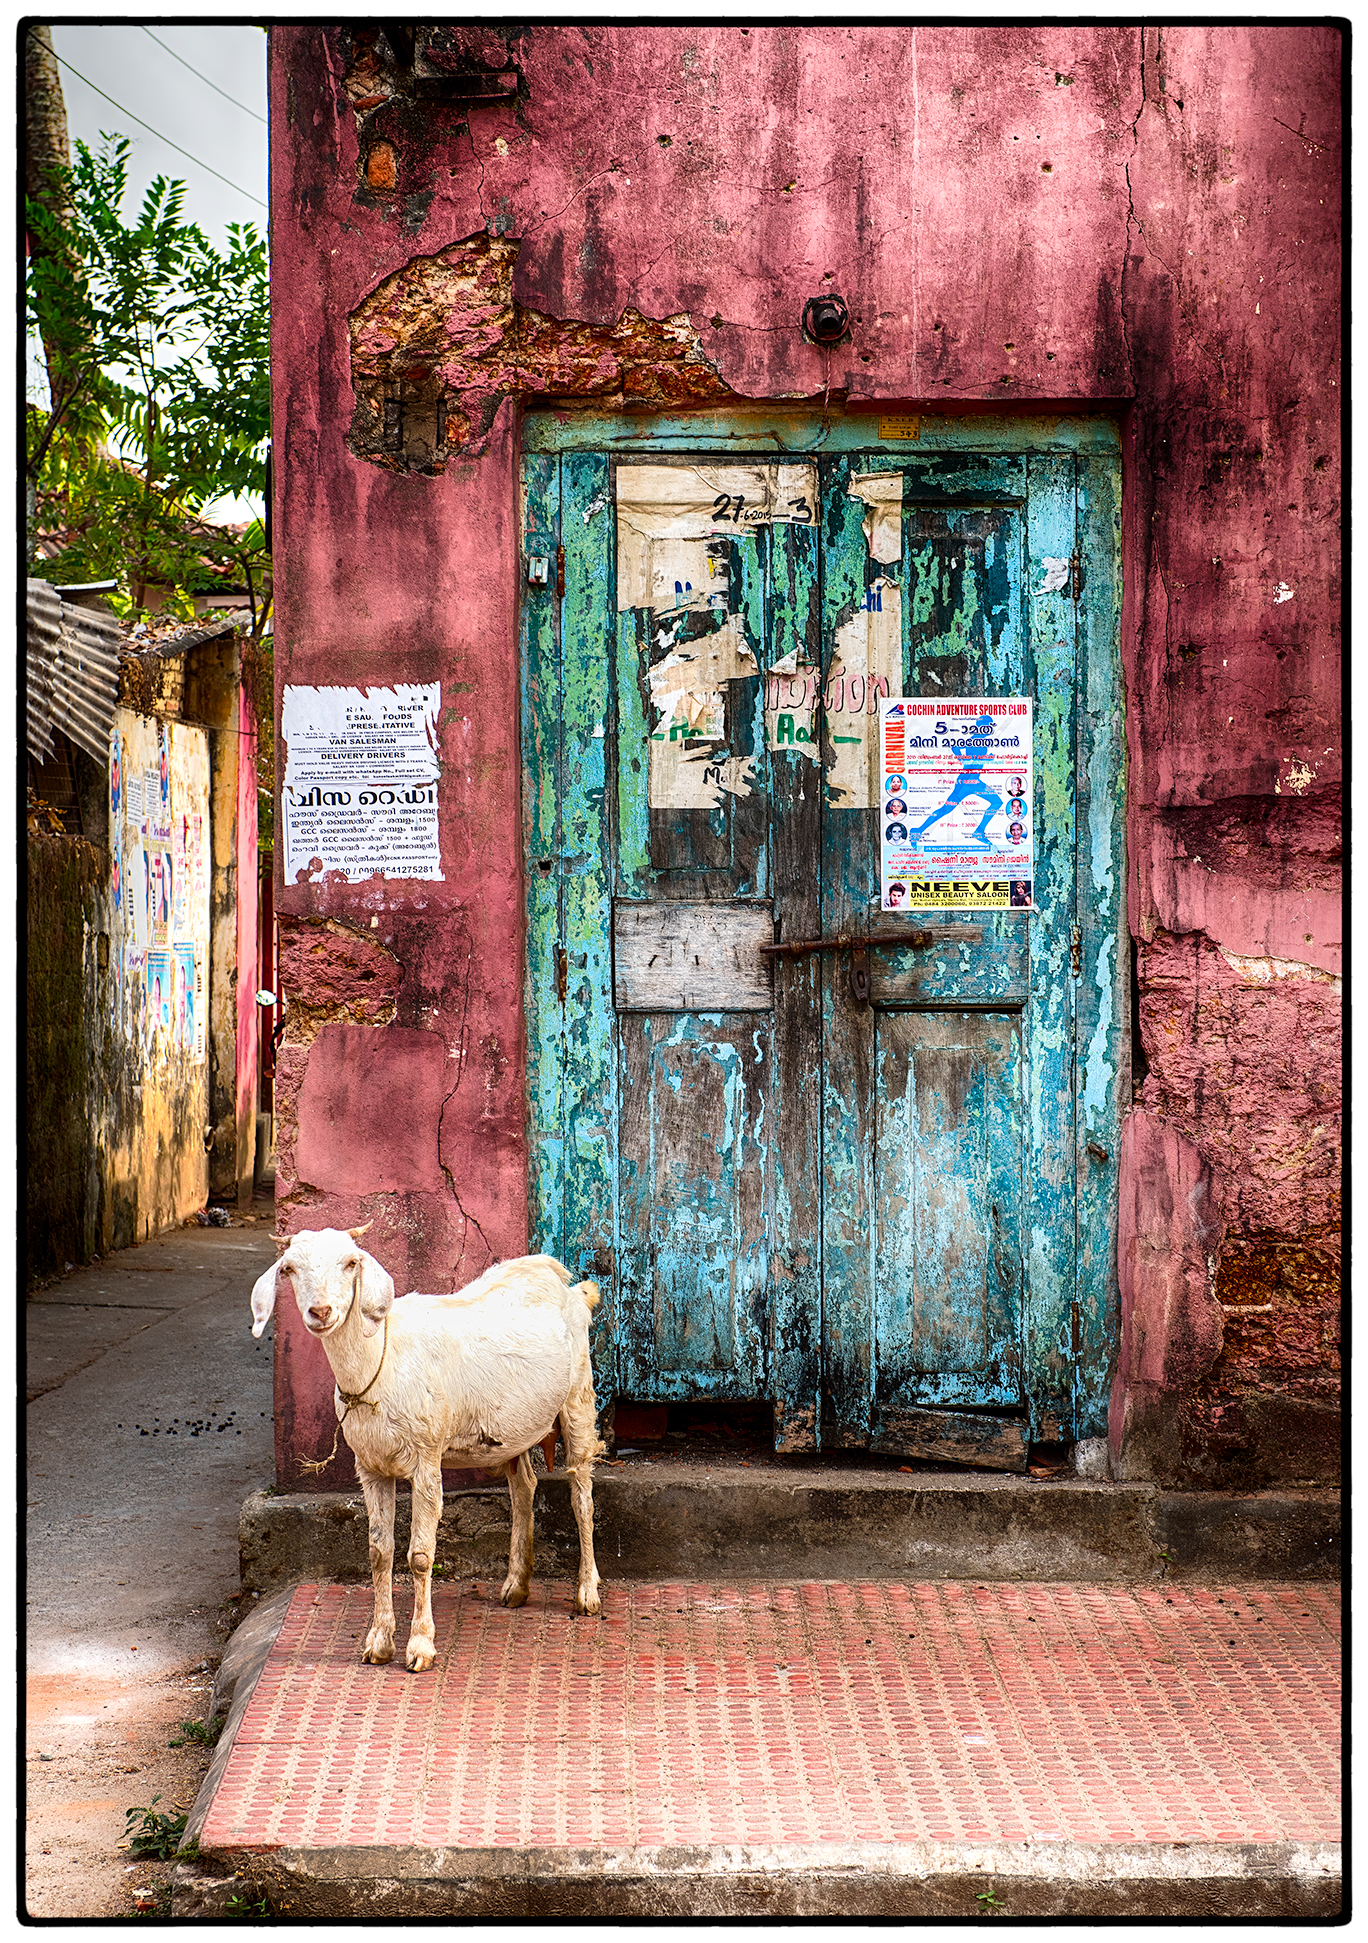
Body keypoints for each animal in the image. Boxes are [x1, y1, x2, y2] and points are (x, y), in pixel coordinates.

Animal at [252, 1227, 602, 1670]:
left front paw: (420, 1645)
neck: (381, 1362)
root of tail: (564, 1281)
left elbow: (419, 1556)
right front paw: (379, 1642)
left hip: (578, 1398)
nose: (320, 1311)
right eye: (289, 1268)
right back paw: (516, 1586)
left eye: (350, 1263)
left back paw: (587, 1592)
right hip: (512, 1428)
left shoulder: (426, 1459)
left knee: (582, 1495)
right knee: (524, 1486)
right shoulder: (370, 1467)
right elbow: (378, 1552)